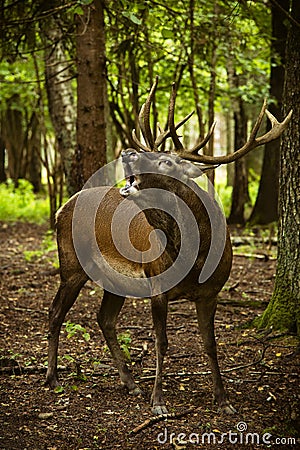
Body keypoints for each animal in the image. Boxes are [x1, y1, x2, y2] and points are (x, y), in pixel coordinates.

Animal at [45, 76, 292, 414]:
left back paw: (130, 383)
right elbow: (162, 341)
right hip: (71, 264)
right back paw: (53, 379)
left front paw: (223, 399)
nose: (128, 152)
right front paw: (158, 401)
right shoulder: (157, 285)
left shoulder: (212, 292)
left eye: (165, 160)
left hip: (115, 280)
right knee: (56, 312)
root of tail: (61, 208)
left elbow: (210, 344)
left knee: (104, 319)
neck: (194, 257)